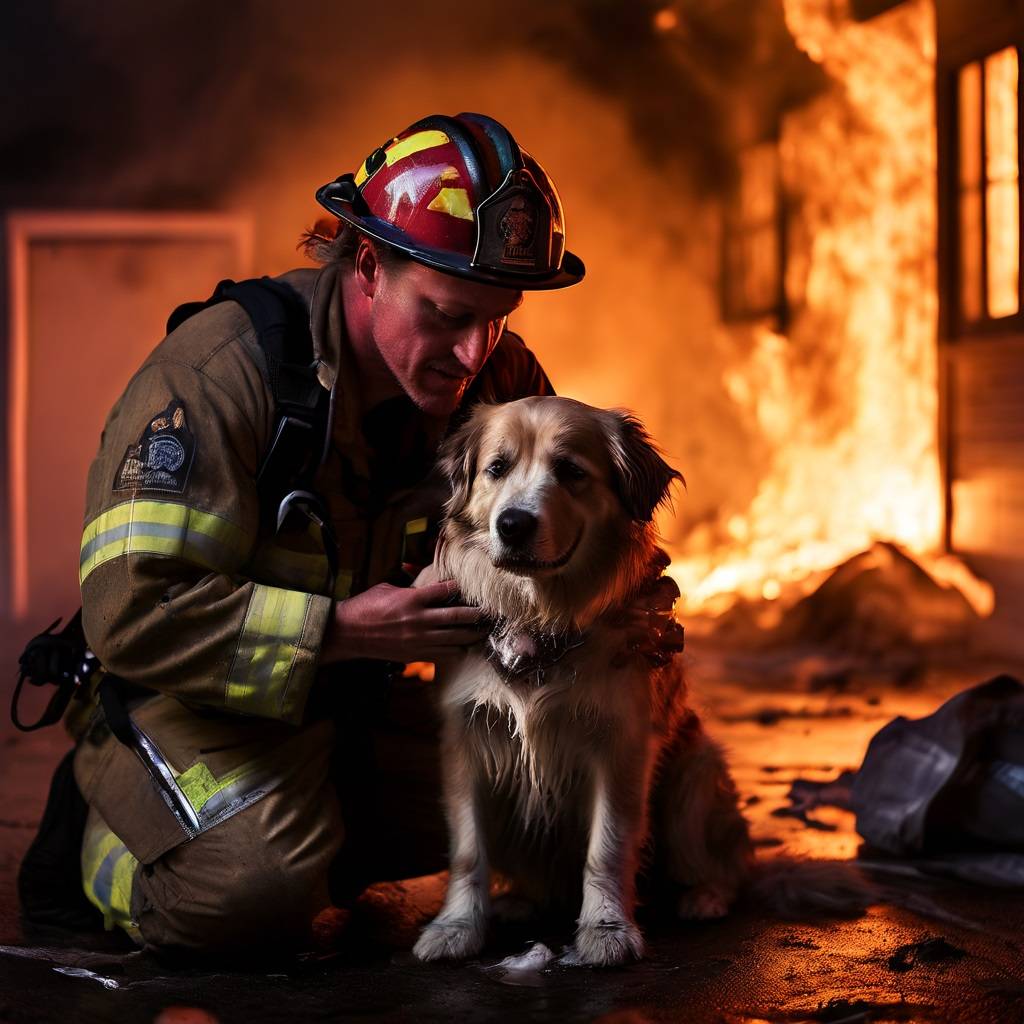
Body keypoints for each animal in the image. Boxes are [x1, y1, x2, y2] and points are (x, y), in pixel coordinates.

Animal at [411, 397, 868, 966]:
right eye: (497, 468)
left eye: (571, 471)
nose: (513, 524)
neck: (541, 621)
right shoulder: (465, 740)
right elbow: (469, 851)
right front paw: (456, 927)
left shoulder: (622, 745)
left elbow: (607, 847)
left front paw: (607, 930)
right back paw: (520, 902)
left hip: (694, 776)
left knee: (727, 868)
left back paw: (705, 896)